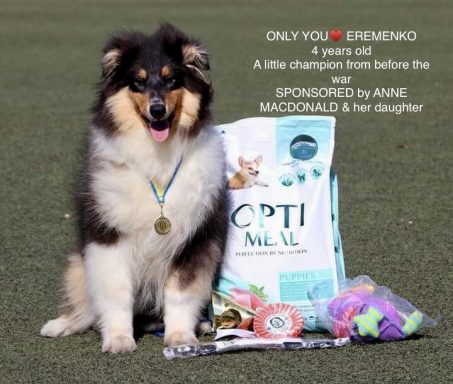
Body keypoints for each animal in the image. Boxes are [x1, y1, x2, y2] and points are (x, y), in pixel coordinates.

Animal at [40, 24, 228, 352]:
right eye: (138, 82)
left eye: (170, 79)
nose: (157, 110)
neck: (156, 158)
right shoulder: (108, 237)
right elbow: (116, 292)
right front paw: (118, 339)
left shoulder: (195, 239)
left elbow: (180, 293)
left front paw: (180, 337)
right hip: (78, 263)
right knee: (85, 307)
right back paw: (61, 325)